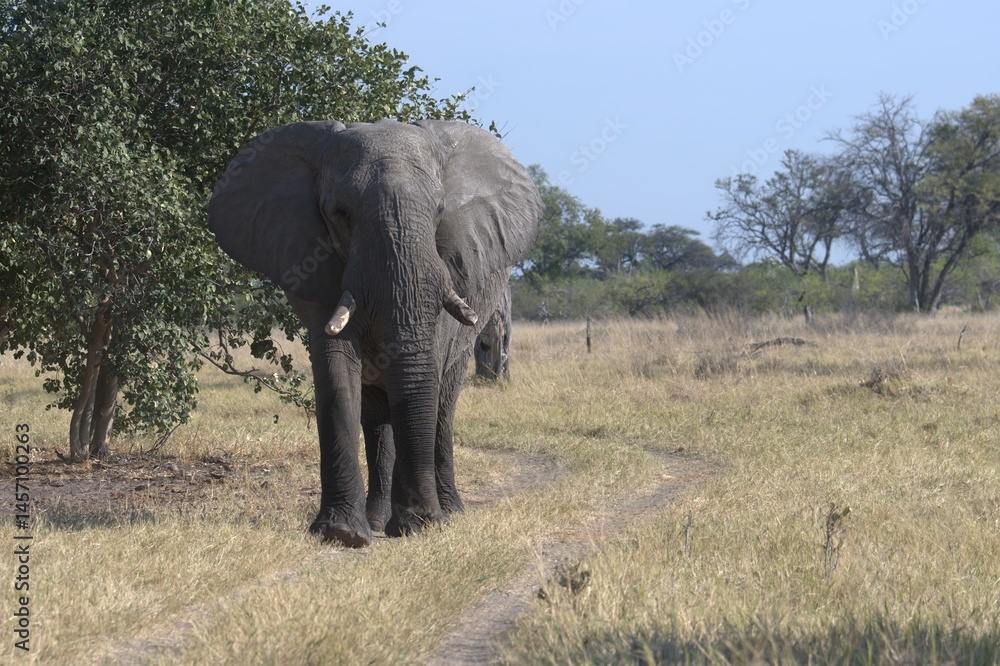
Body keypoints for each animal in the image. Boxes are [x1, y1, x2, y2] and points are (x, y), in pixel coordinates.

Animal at [209, 119, 543, 547]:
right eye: (340, 212)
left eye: (439, 210)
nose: (427, 518)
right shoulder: (316, 263)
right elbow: (337, 377)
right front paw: (342, 533)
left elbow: (423, 379)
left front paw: (419, 525)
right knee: (377, 417)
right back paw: (377, 519)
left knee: (443, 405)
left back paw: (449, 512)